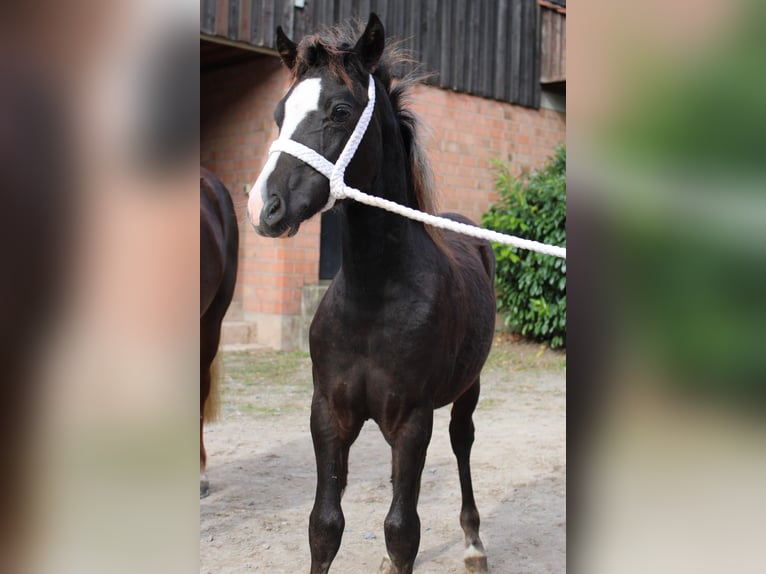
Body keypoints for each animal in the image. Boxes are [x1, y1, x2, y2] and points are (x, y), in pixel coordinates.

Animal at [249, 14, 496, 574]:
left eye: (340, 110)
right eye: (279, 112)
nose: (263, 207)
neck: (374, 297)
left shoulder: (412, 420)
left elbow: (402, 531)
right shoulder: (329, 412)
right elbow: (325, 526)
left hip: (467, 388)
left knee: (463, 443)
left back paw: (473, 544)